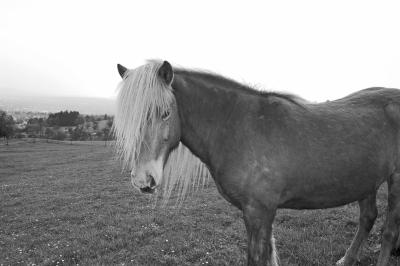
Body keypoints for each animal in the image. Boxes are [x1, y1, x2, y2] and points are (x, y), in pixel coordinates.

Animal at [113, 60, 400, 266]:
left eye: (165, 113)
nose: (143, 179)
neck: (239, 125)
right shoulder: (258, 214)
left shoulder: (259, 212)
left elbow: (257, 258)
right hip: (365, 181)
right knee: (368, 218)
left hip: (395, 179)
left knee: (388, 231)